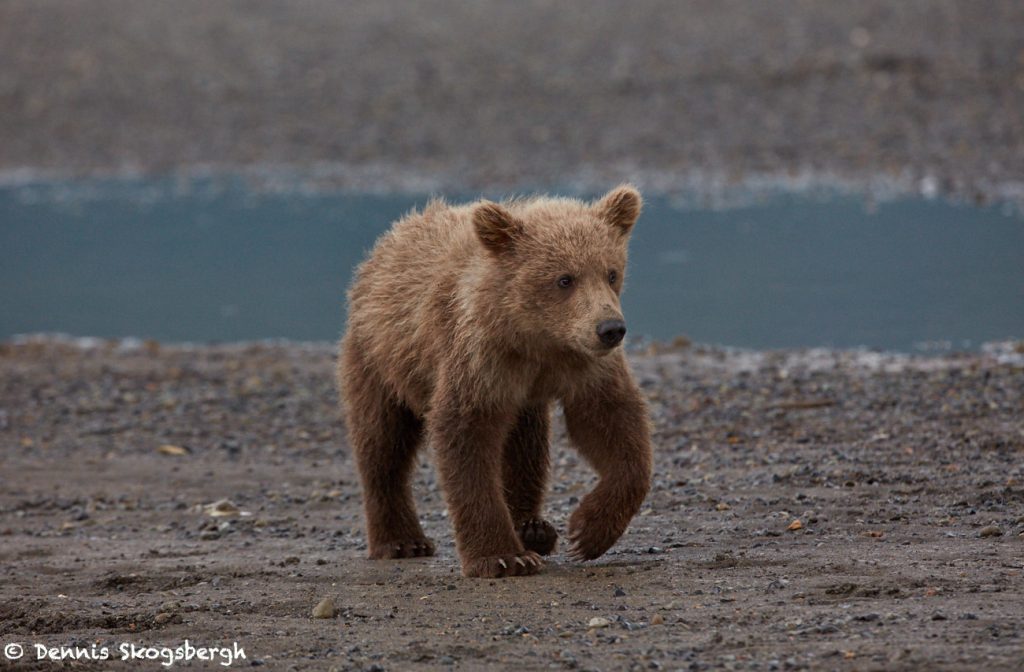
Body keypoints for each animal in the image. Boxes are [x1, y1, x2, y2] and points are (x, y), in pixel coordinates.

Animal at [338, 185, 653, 578]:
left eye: (611, 272)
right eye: (564, 278)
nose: (610, 329)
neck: (536, 340)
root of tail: (384, 246)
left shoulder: (584, 365)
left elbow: (611, 423)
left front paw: (588, 531)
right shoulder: (478, 359)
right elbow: (466, 437)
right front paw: (503, 557)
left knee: (524, 445)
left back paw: (533, 528)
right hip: (381, 358)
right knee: (383, 442)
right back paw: (402, 541)